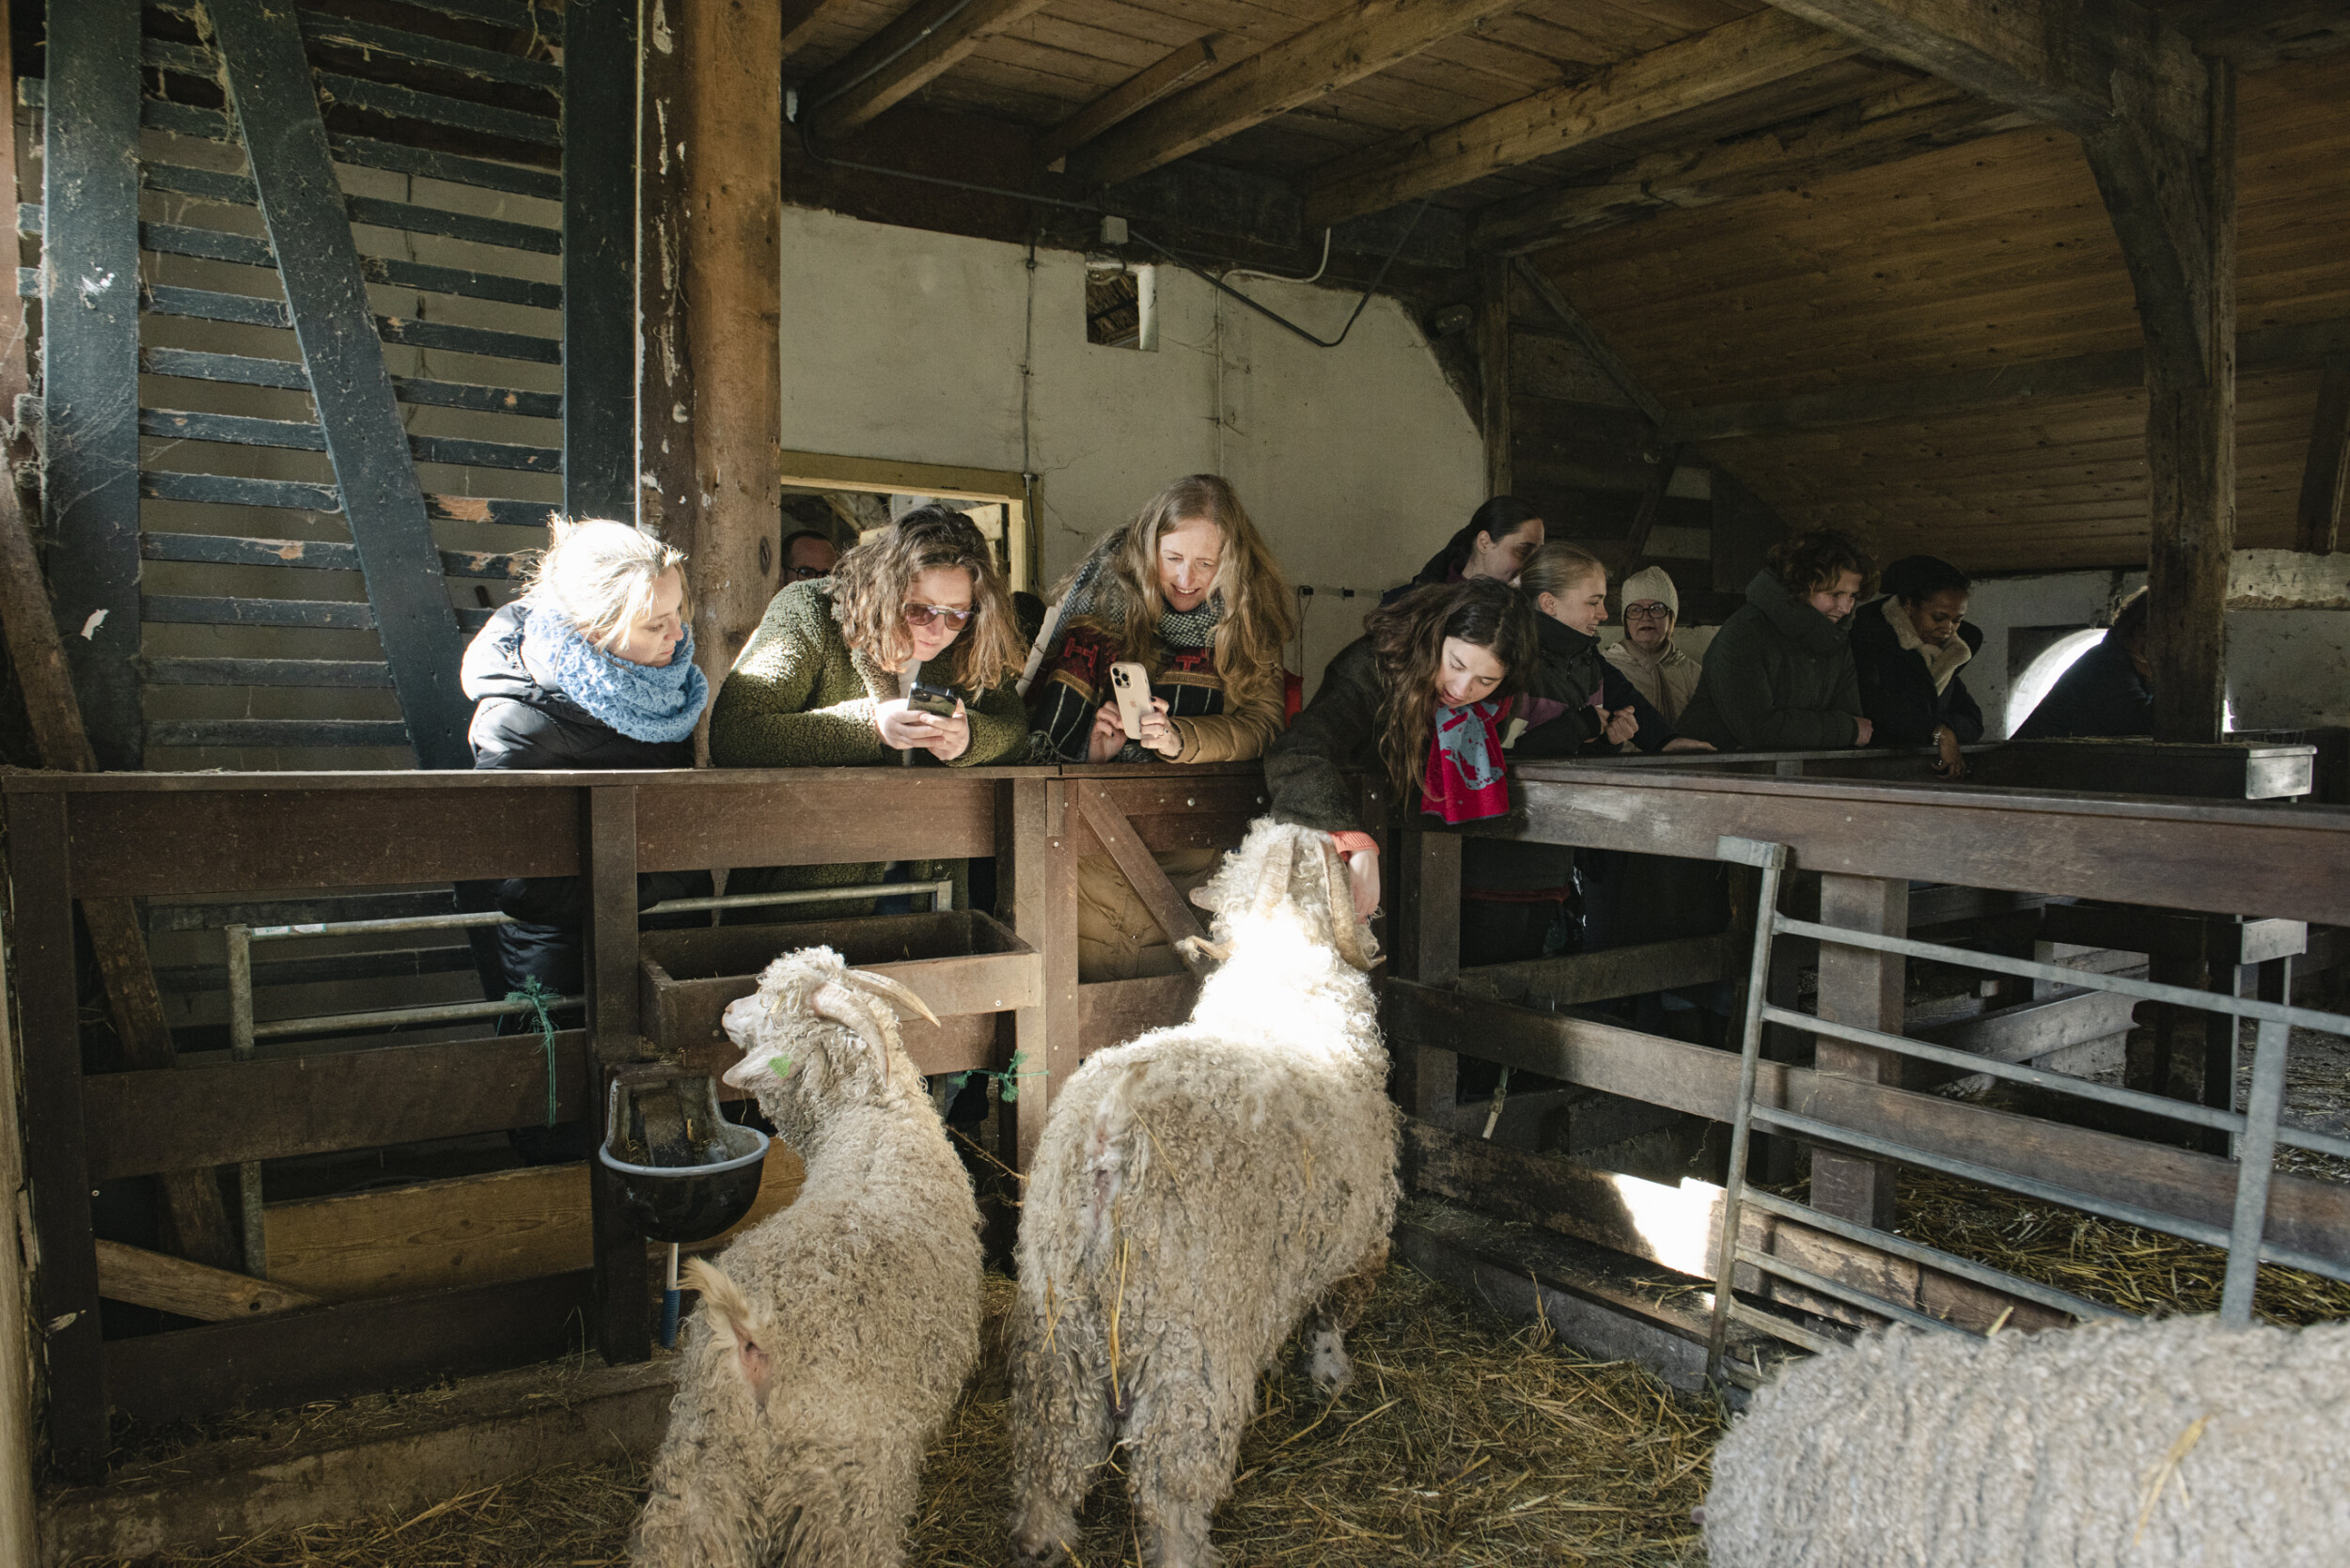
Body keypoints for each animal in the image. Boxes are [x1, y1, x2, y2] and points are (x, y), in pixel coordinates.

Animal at [625, 945, 982, 1568]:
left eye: (771, 1006)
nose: (726, 1010)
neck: (873, 1121)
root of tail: (752, 1331)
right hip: (843, 1482)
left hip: (708, 1453)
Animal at [1006, 823, 1391, 1568]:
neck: (1290, 985)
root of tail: (1109, 1137)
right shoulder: (1361, 1241)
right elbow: (1331, 1320)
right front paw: (1333, 1378)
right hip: (1192, 1341)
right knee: (1172, 1478)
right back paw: (1187, 1549)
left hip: (1059, 1320)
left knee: (1050, 1446)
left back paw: (1044, 1537)